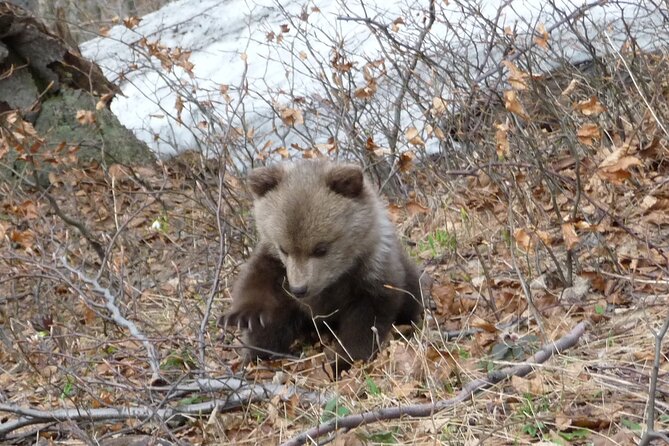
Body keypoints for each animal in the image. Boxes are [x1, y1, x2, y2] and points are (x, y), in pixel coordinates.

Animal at [220, 160, 423, 372]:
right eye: (284, 248)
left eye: (320, 248)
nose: (299, 289)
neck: (336, 279)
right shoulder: (276, 264)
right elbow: (257, 280)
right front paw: (244, 316)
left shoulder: (370, 274)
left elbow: (366, 321)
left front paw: (342, 359)